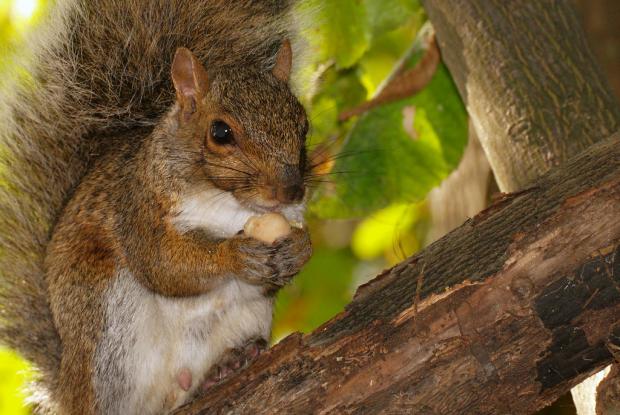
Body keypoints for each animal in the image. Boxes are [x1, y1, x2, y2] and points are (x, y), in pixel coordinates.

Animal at [0, 1, 318, 414]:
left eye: (304, 126)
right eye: (220, 132)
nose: (290, 190)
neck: (229, 203)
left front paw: (300, 249)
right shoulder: (137, 205)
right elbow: (161, 264)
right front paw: (234, 255)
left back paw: (228, 364)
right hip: (104, 328)